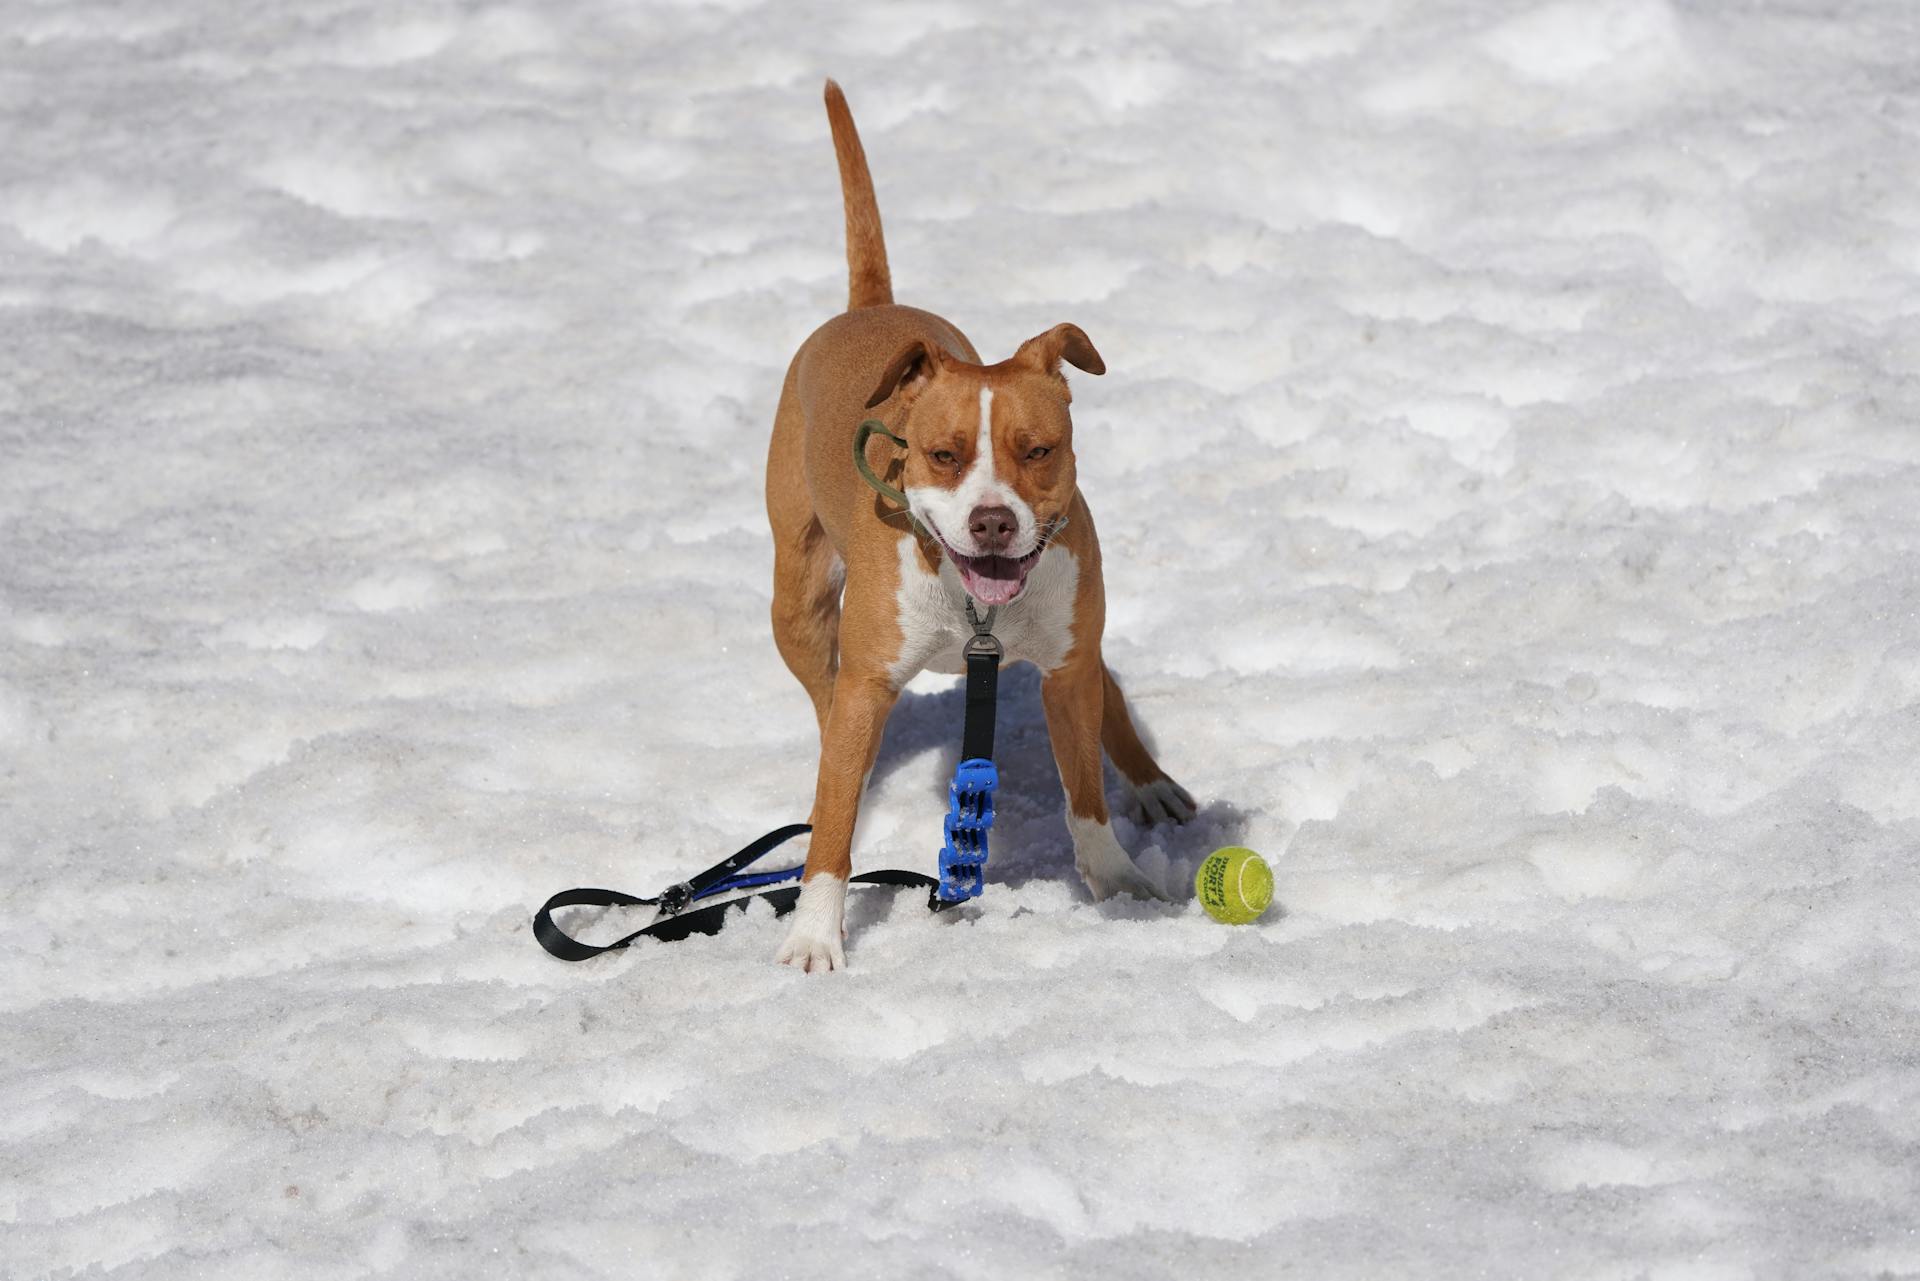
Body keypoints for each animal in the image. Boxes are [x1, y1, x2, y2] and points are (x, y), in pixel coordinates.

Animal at [760, 82, 1182, 971]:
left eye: (1038, 449)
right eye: (945, 454)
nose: (993, 521)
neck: (975, 607)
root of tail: (870, 306)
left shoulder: (1064, 668)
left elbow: (1084, 791)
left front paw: (1117, 882)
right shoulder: (866, 682)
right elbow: (834, 825)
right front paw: (814, 934)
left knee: (1104, 685)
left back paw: (1152, 779)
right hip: (799, 605)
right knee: (824, 711)